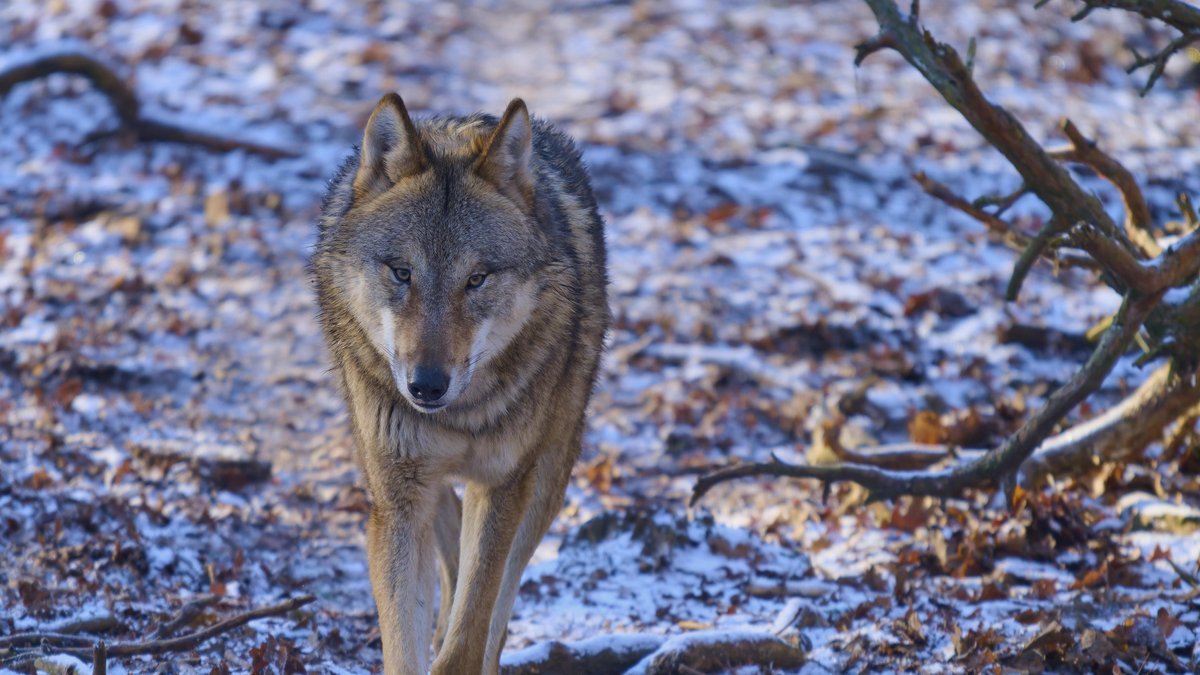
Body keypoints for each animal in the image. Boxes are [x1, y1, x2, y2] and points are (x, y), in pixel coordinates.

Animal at [310, 93, 609, 675]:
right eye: (402, 272)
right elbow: (405, 647)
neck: (458, 418)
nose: (426, 386)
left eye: (477, 279)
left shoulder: (502, 486)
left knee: (496, 613)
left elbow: (467, 640)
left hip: (546, 477)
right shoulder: (398, 506)